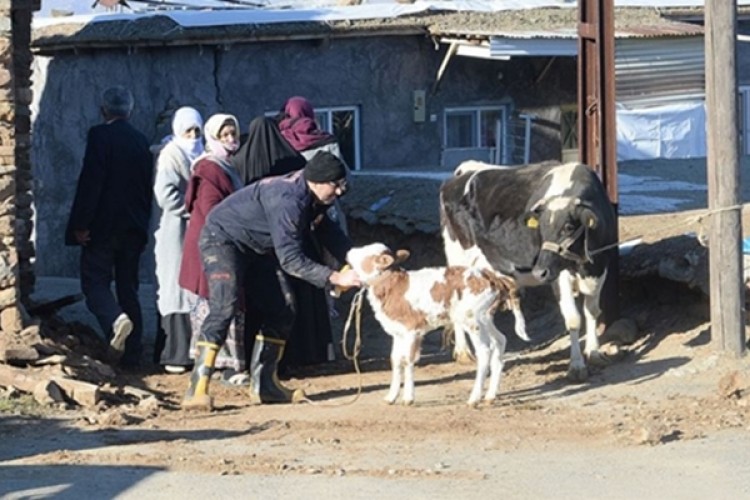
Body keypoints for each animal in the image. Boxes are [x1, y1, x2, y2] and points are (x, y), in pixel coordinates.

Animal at [346, 242, 528, 406]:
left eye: (366, 253)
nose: (349, 251)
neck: (394, 287)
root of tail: (491, 276)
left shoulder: (412, 330)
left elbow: (408, 360)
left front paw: (408, 398)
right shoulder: (398, 332)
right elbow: (396, 360)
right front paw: (391, 397)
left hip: (472, 319)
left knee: (484, 351)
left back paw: (474, 399)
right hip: (485, 318)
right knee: (500, 340)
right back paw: (490, 396)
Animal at [440, 162, 616, 380]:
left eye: (568, 227)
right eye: (540, 229)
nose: (540, 271)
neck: (584, 265)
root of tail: (467, 168)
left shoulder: (601, 267)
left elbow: (592, 311)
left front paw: (594, 352)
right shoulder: (559, 275)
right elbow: (573, 319)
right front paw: (576, 366)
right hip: (458, 259)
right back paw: (464, 353)